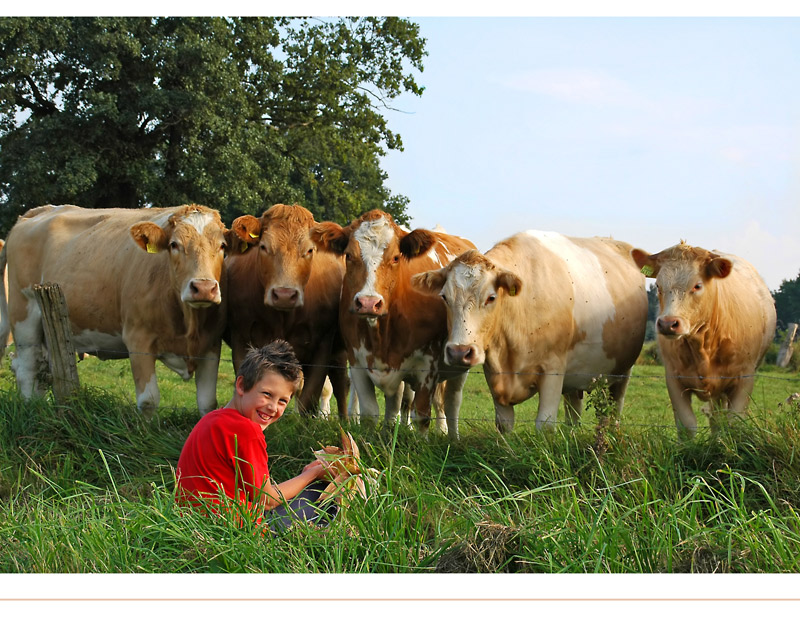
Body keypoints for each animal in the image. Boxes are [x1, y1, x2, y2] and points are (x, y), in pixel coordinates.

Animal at [0, 202, 231, 414]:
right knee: (27, 368)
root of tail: (41, 210)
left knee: (41, 371)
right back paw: (31, 410)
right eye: (174, 244)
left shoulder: (210, 344)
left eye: (223, 246)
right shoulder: (138, 339)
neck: (188, 323)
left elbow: (208, 403)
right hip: (24, 315)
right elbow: (148, 401)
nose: (203, 288)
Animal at [225, 205, 350, 420]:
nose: (284, 294)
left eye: (309, 250)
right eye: (264, 247)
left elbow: (309, 398)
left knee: (341, 382)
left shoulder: (323, 344)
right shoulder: (241, 336)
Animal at [310, 210, 476, 438]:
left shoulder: (428, 365)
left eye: (396, 257)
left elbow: (422, 415)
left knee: (450, 403)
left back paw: (449, 435)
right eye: (349, 256)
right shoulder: (357, 361)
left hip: (460, 363)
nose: (368, 302)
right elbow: (371, 412)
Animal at [410, 230, 648, 434]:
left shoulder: (553, 370)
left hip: (622, 371)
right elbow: (504, 424)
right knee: (574, 412)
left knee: (614, 410)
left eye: (491, 297)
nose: (460, 352)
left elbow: (545, 424)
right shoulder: (495, 373)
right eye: (444, 297)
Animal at [632, 241, 776, 436]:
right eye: (658, 286)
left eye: (697, 286)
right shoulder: (674, 379)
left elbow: (734, 424)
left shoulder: (745, 380)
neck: (703, 344)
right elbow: (687, 425)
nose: (668, 323)